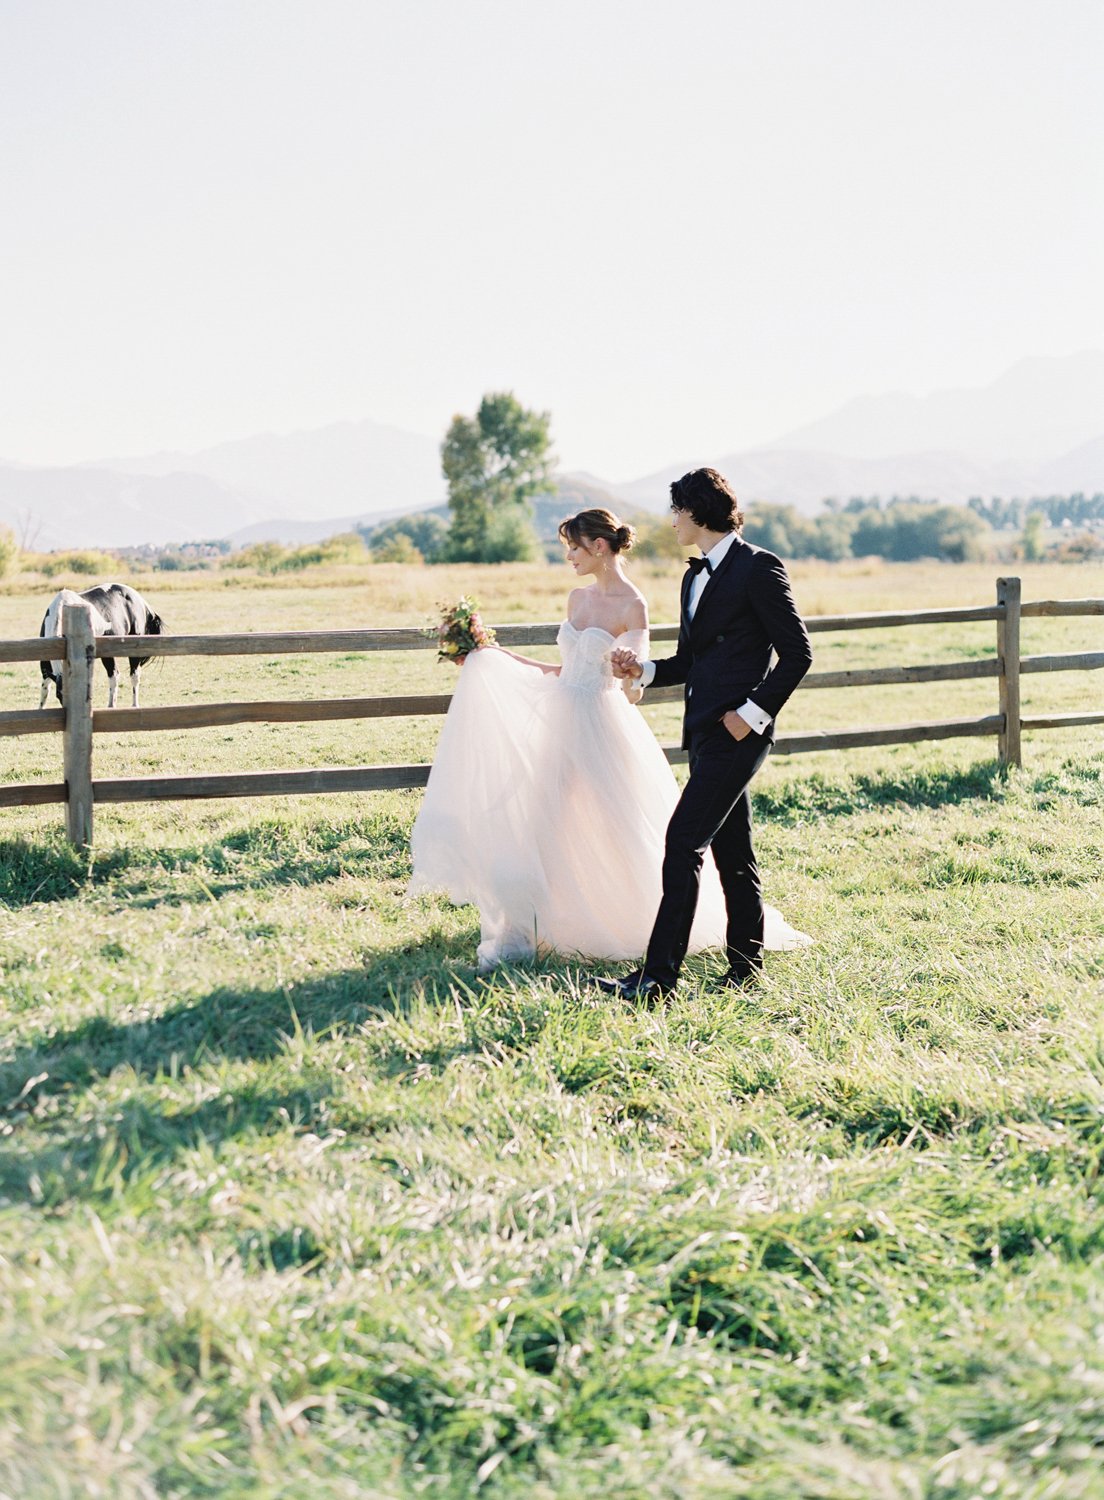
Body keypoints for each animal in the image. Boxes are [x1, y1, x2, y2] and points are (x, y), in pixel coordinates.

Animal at [37, 579, 163, 708]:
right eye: (60, 696)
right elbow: (44, 692)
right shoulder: (45, 666)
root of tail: (141, 602)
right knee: (115, 675)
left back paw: (133, 705)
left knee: (132, 676)